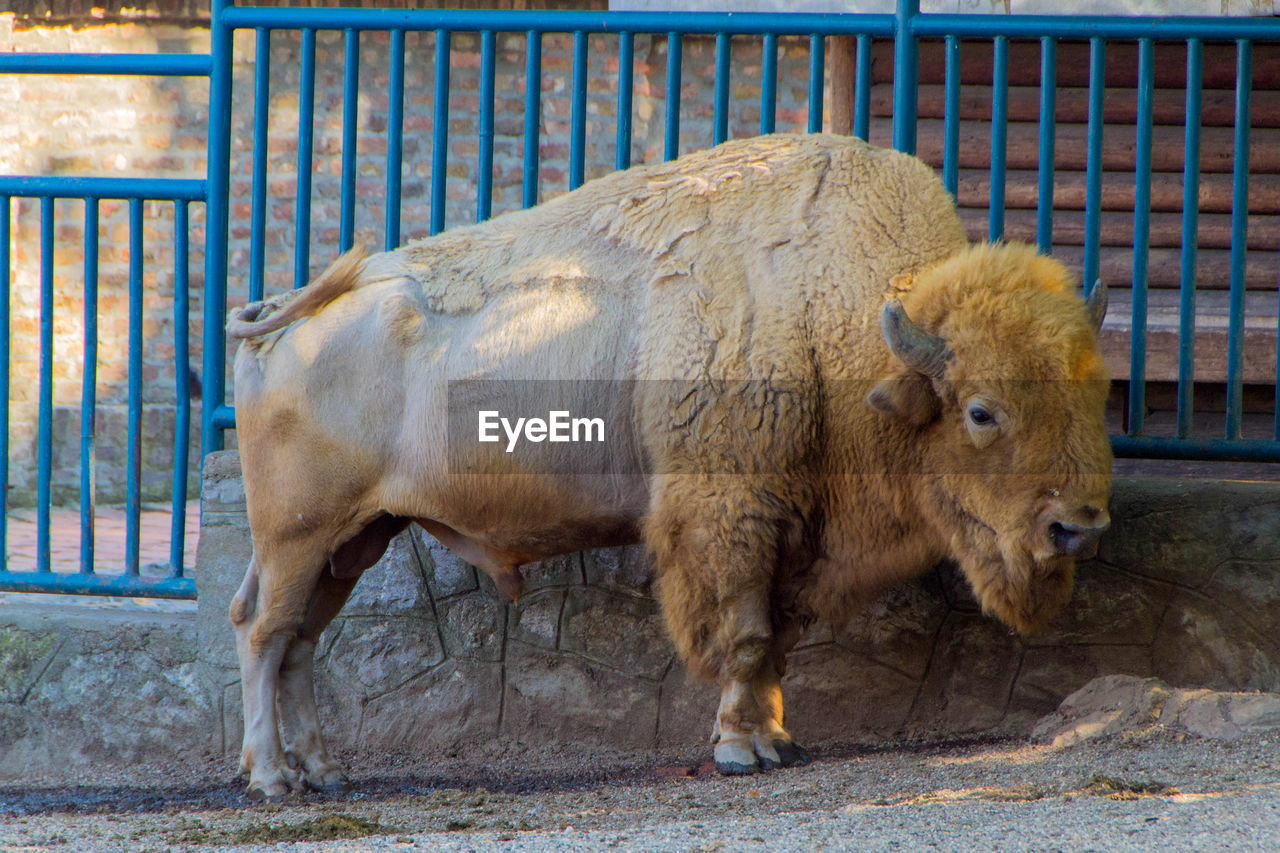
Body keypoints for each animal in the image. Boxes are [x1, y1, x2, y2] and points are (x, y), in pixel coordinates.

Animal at [227, 133, 1111, 799]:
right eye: (982, 410)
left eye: (1094, 386)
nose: (1077, 525)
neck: (831, 320)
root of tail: (286, 318)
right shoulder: (729, 516)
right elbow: (746, 635)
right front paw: (741, 750)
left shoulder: (789, 532)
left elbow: (778, 640)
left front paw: (776, 738)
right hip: (298, 537)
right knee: (266, 631)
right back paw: (272, 777)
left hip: (354, 540)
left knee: (301, 639)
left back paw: (323, 770)